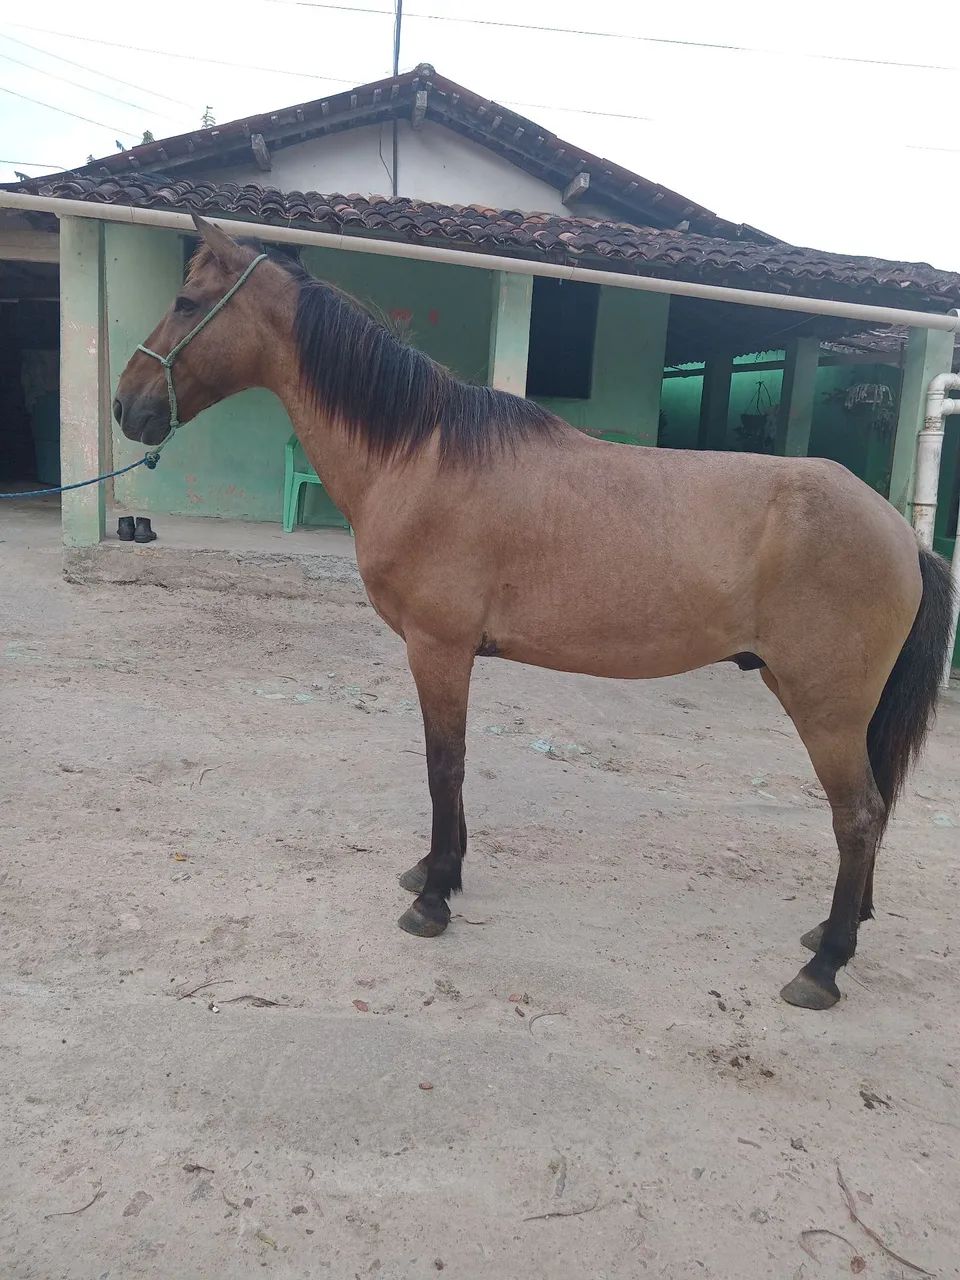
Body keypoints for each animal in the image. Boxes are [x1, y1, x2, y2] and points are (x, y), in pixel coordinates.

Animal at [113, 215, 955, 1011]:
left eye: (185, 300)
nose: (126, 405)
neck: (422, 457)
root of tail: (900, 533)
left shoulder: (438, 647)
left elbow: (443, 765)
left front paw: (433, 898)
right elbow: (445, 766)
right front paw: (434, 870)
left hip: (825, 706)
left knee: (858, 814)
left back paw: (824, 966)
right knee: (872, 807)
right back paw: (839, 929)